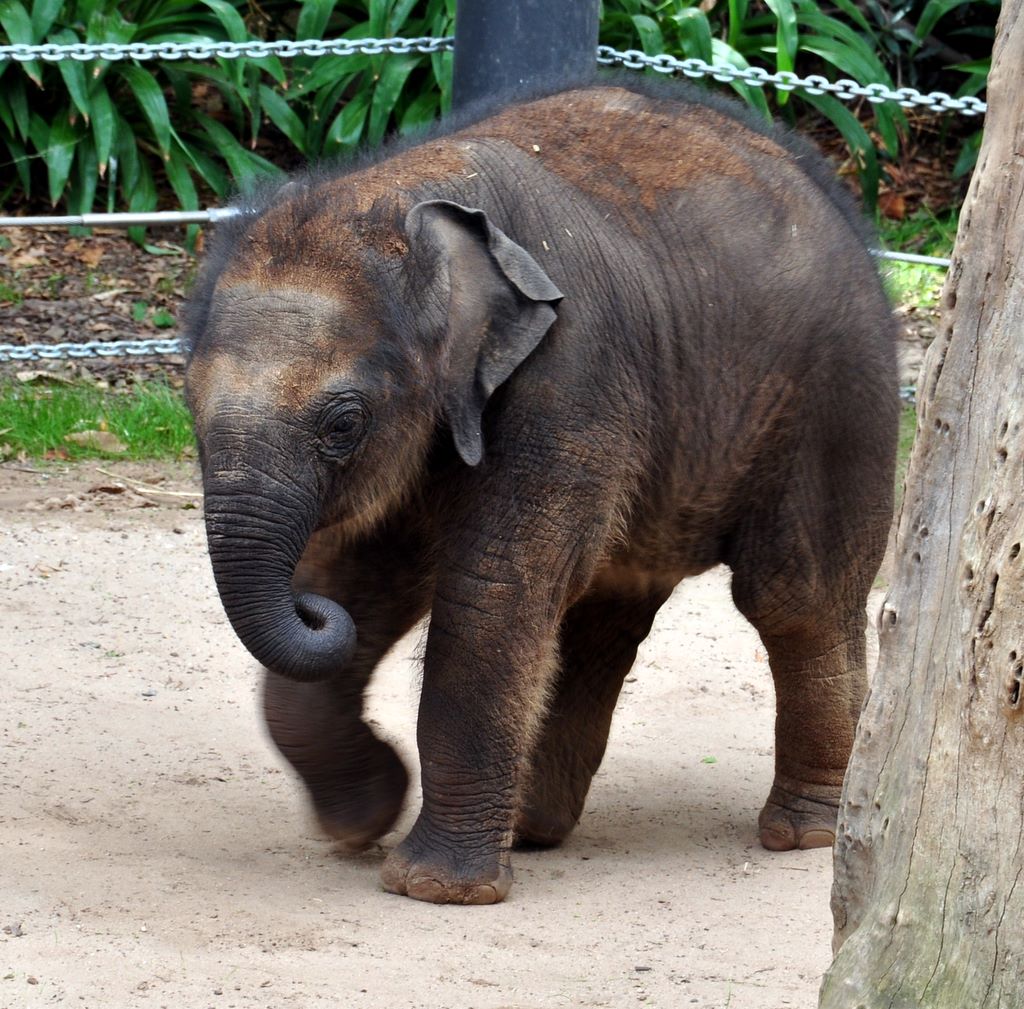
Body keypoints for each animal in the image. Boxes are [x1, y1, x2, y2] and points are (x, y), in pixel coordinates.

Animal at [183, 76, 898, 905]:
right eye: (186, 405)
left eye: (343, 423)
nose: (306, 606)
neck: (408, 196)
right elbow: (370, 574)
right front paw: (366, 817)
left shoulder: (569, 378)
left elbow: (490, 588)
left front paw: (434, 888)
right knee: (601, 619)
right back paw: (534, 829)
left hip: (835, 395)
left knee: (795, 595)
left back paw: (805, 833)